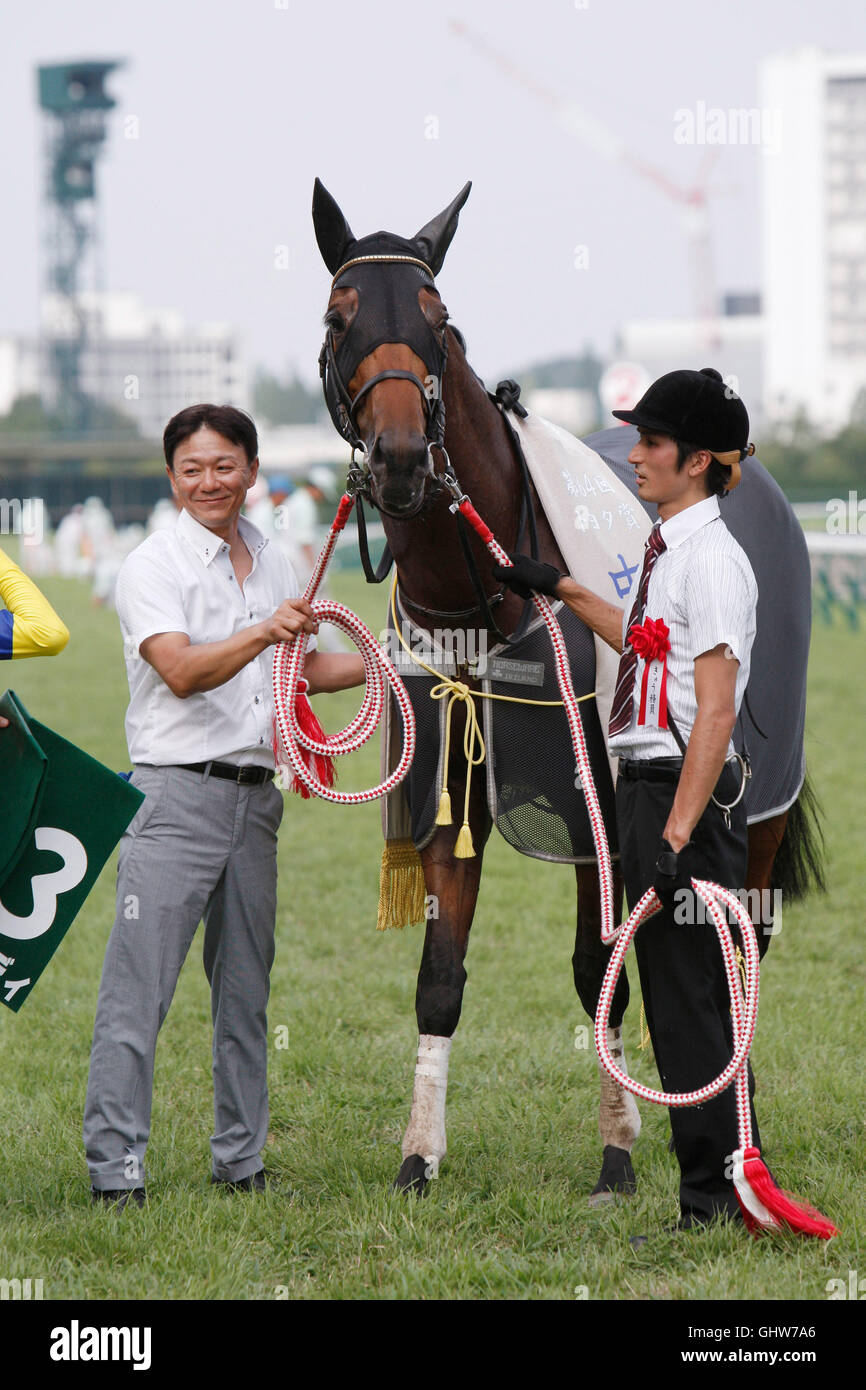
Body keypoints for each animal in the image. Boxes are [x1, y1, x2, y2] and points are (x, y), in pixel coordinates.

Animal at [311, 178, 825, 1199]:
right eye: (339, 316)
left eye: (438, 317)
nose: (400, 456)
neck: (484, 597)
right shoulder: (452, 791)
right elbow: (439, 977)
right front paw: (419, 1156)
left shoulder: (608, 807)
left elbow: (602, 969)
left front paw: (619, 1153)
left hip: (758, 793)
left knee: (745, 934)